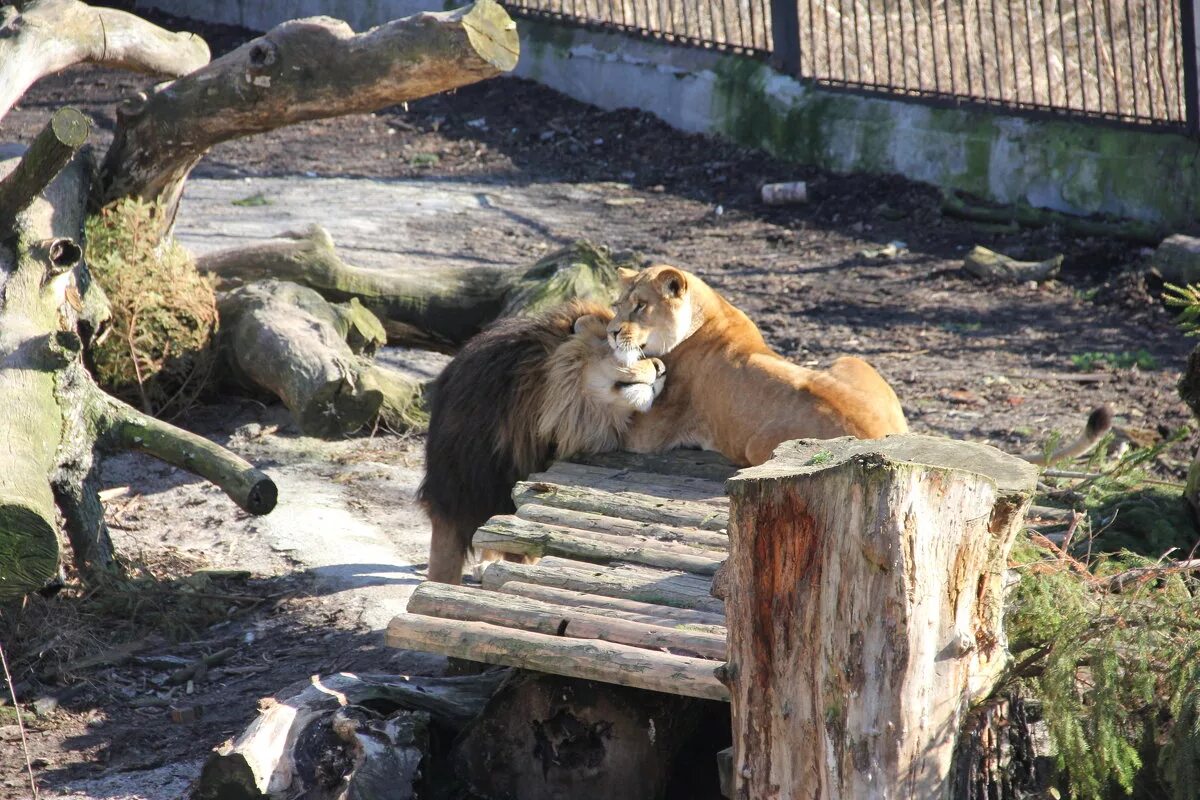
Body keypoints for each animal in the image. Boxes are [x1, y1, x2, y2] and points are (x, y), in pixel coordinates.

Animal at [590, 267, 1104, 470]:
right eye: (618, 303)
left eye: (640, 306)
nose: (613, 332)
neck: (705, 315)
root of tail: (889, 437)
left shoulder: (649, 433)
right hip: (850, 359)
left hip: (758, 445)